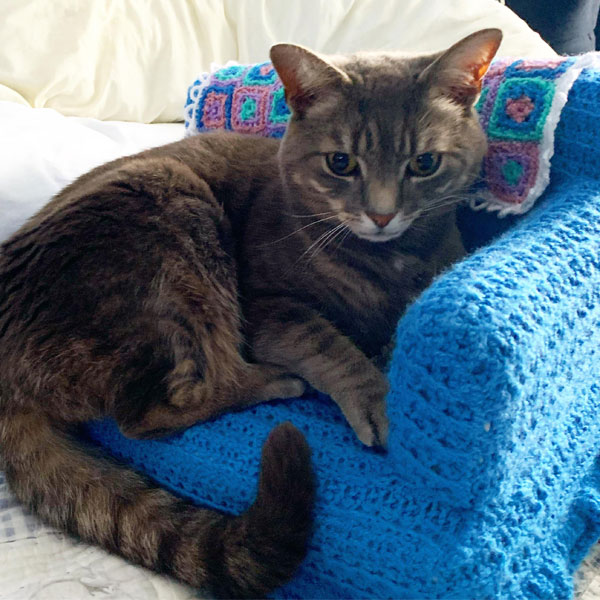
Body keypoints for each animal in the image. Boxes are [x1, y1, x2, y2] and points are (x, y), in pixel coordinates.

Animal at [0, 29, 502, 600]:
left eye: (424, 164)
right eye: (340, 163)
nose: (381, 214)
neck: (386, 261)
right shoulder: (269, 310)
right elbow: (331, 346)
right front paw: (376, 396)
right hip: (176, 218)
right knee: (152, 411)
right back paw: (277, 381)